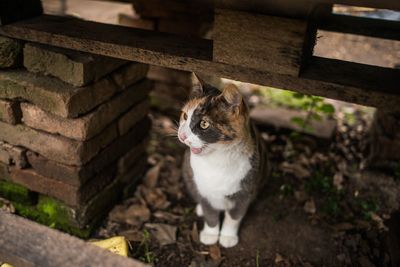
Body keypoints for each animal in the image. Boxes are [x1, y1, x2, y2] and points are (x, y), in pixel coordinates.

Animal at [178, 76, 268, 249]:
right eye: (185, 116)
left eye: (204, 124)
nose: (182, 135)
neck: (217, 161)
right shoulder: (203, 190)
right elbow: (210, 213)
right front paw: (210, 234)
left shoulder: (244, 192)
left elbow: (233, 217)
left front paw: (227, 236)